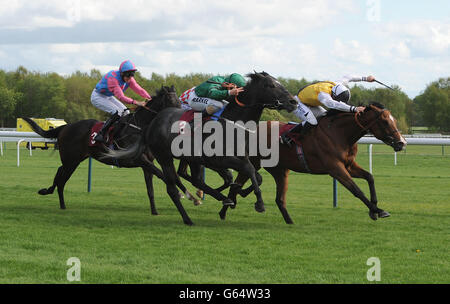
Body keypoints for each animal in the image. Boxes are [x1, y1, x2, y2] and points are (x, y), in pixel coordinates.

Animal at [23, 85, 200, 213]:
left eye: (179, 101)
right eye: (171, 101)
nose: (182, 118)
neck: (140, 127)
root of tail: (66, 127)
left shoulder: (147, 163)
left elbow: (156, 185)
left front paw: (159, 209)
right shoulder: (139, 159)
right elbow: (165, 176)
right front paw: (184, 195)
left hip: (74, 160)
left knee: (61, 176)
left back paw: (60, 202)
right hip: (71, 160)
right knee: (61, 176)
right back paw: (50, 194)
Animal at [103, 70, 298, 223]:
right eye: (270, 85)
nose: (293, 102)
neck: (234, 122)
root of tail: (152, 123)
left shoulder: (240, 158)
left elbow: (257, 176)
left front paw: (238, 193)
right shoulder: (222, 160)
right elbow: (249, 171)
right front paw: (259, 203)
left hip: (192, 158)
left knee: (194, 180)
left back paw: (219, 199)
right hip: (164, 157)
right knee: (172, 187)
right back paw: (188, 218)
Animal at [219, 103, 408, 224]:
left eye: (394, 120)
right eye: (385, 121)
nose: (401, 143)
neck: (340, 133)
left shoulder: (348, 165)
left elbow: (370, 177)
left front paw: (374, 209)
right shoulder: (335, 168)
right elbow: (356, 190)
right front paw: (378, 211)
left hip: (280, 170)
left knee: (278, 199)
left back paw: (289, 221)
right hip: (254, 162)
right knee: (238, 184)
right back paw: (224, 210)